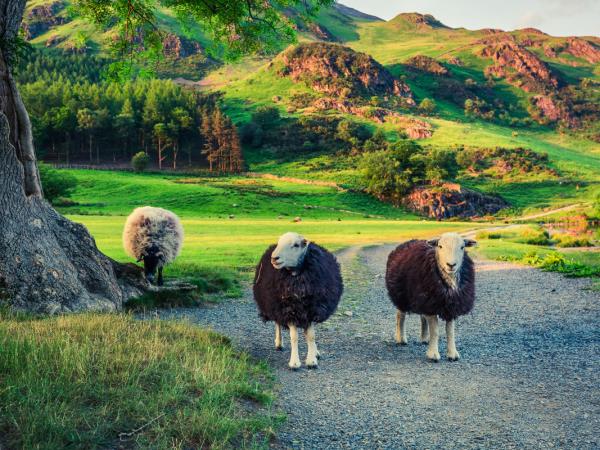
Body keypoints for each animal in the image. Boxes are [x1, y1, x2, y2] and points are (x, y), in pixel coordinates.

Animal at [252, 232, 342, 370]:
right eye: (279, 243)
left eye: (295, 245)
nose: (274, 258)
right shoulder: (288, 310)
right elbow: (294, 337)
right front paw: (294, 363)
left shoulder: (311, 310)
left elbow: (311, 336)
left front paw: (311, 360)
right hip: (276, 307)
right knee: (278, 324)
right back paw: (279, 343)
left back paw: (315, 352)